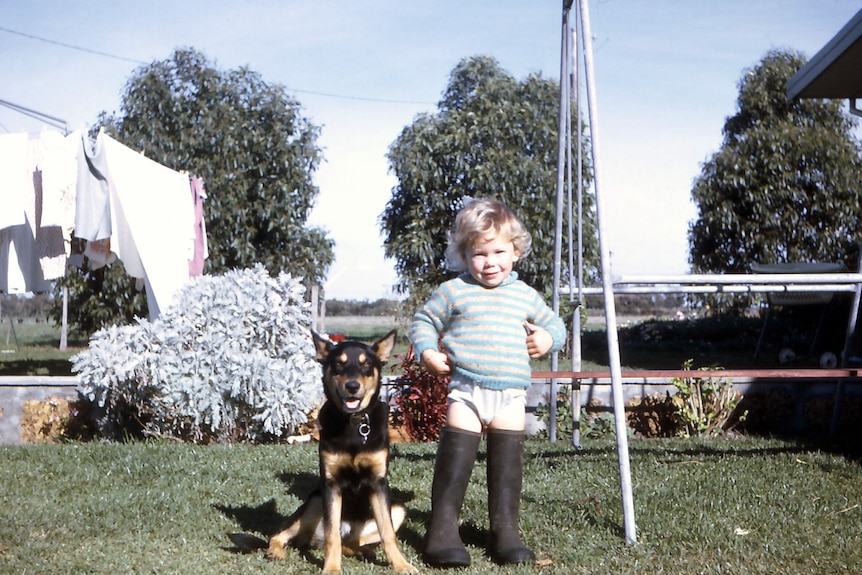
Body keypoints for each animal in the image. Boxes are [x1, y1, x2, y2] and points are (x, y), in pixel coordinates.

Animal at [264, 330, 416, 572]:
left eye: (366, 364)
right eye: (339, 363)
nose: (353, 386)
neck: (354, 425)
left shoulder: (378, 483)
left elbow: (388, 532)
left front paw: (401, 565)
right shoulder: (331, 485)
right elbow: (331, 534)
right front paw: (332, 568)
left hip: (398, 509)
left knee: (354, 542)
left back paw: (364, 551)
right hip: (315, 501)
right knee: (282, 535)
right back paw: (276, 552)